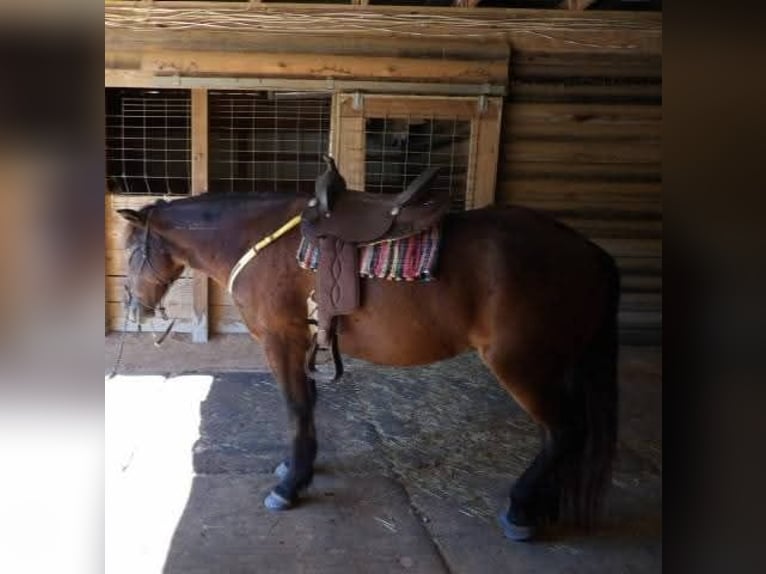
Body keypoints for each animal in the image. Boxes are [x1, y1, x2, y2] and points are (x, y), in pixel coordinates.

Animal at [117, 190, 620, 541]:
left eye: (130, 251)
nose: (134, 307)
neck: (256, 241)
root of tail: (588, 249)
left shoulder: (282, 341)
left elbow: (295, 409)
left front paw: (289, 487)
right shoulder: (304, 344)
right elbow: (307, 408)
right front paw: (297, 468)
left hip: (523, 366)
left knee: (564, 431)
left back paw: (519, 508)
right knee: (562, 435)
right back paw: (543, 504)